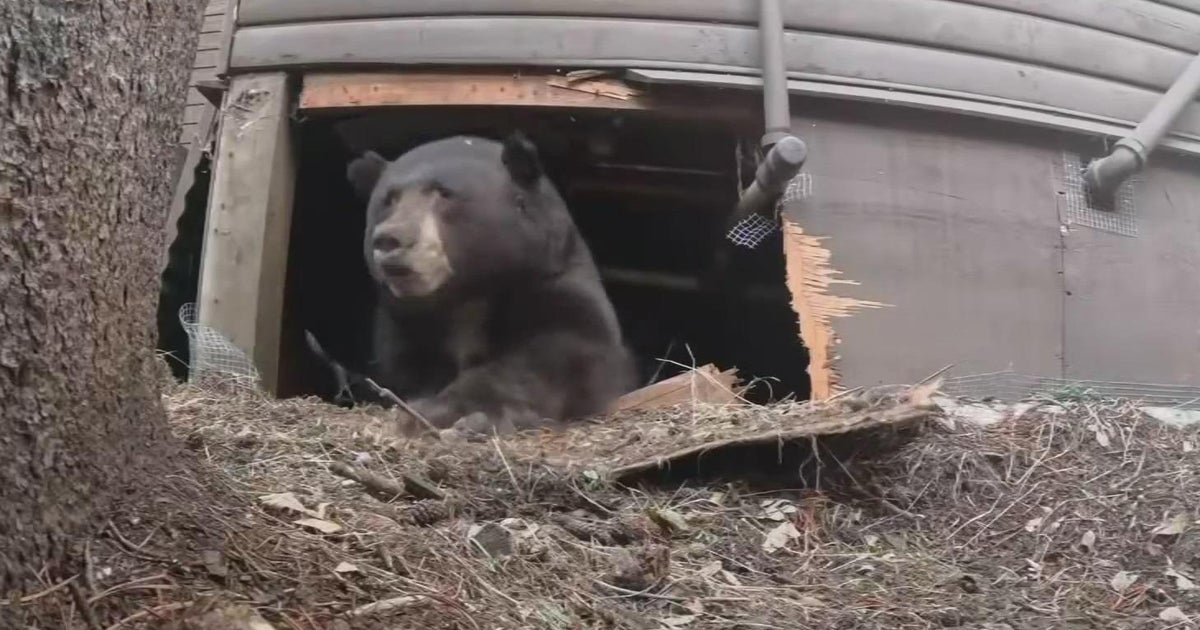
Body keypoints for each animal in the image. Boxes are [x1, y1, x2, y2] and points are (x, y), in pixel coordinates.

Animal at [345, 132, 638, 436]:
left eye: (443, 193)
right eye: (389, 199)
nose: (390, 239)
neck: (468, 297)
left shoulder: (556, 290)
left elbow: (555, 355)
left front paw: (452, 412)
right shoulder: (404, 328)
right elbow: (406, 368)